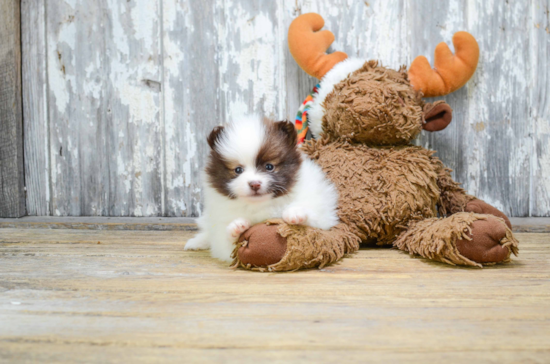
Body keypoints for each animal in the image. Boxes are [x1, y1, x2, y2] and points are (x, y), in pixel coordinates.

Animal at [187, 115, 340, 260]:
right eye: (238, 170)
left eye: (269, 167)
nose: (254, 183)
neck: (262, 204)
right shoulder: (220, 232)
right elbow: (227, 245)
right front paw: (237, 227)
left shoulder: (323, 215)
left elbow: (315, 222)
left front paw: (295, 214)